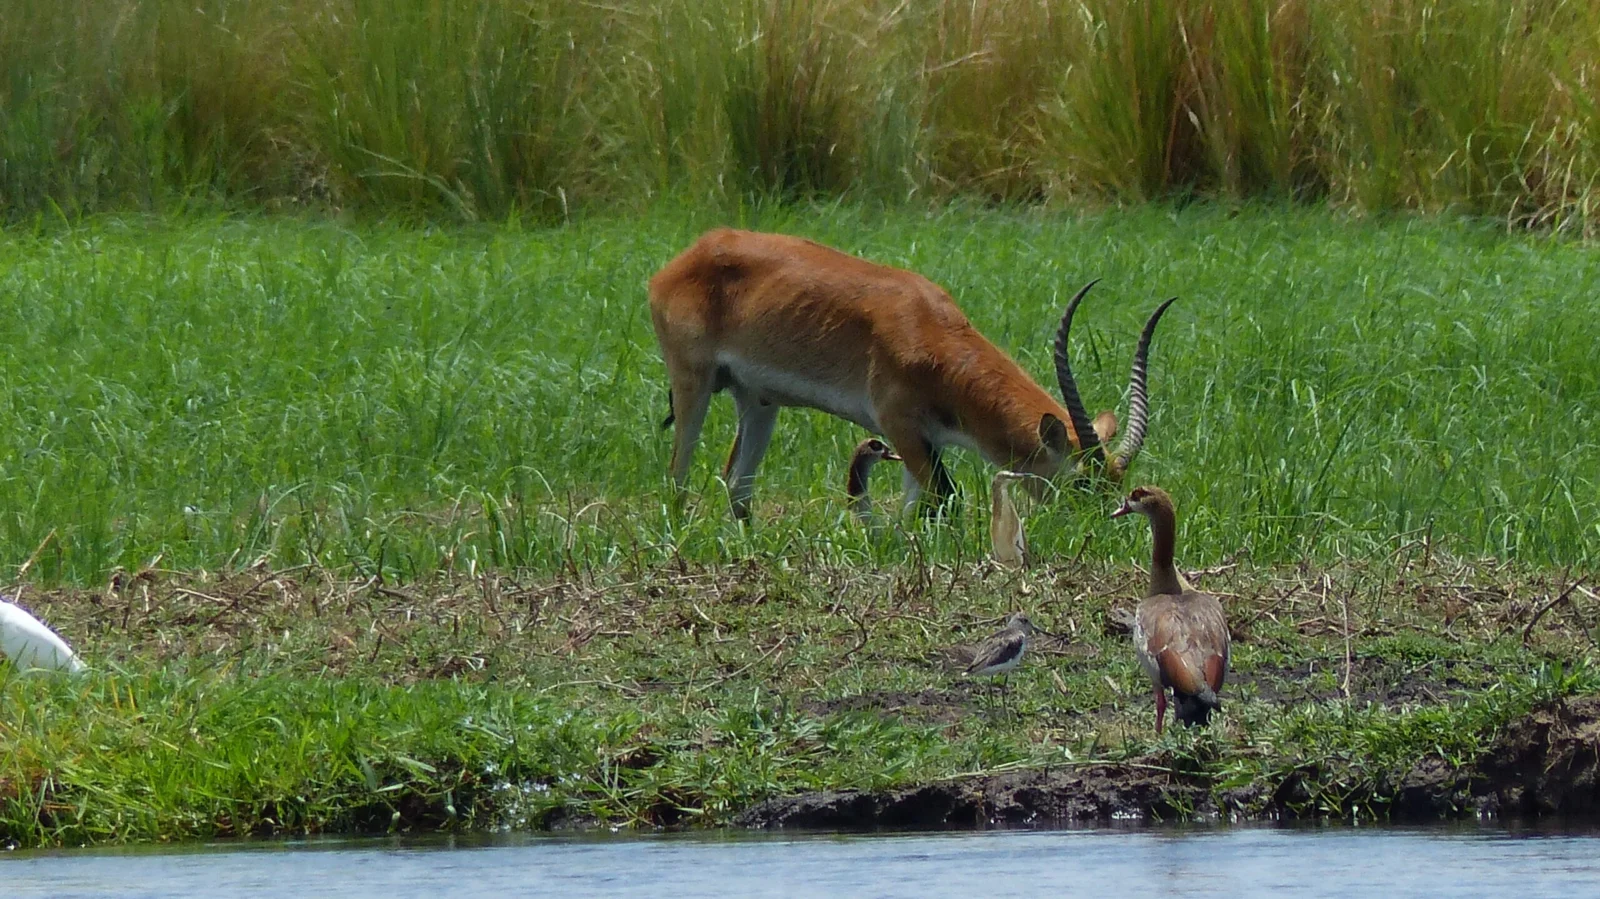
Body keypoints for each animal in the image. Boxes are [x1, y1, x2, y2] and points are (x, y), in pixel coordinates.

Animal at [648, 228, 1175, 519]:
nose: (1098, 520)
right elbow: (945, 500)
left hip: (760, 401)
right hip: (693, 383)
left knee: (736, 482)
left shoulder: (925, 443)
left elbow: (916, 507)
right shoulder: (901, 428)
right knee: (676, 473)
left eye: (1115, 482)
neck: (931, 332)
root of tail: (694, 252)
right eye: (1082, 482)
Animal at [1111, 486, 1230, 734]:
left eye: (1135, 495)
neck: (1172, 587)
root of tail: (1200, 684)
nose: (1119, 509)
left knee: (1164, 702)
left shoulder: (1153, 675)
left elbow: (1160, 703)